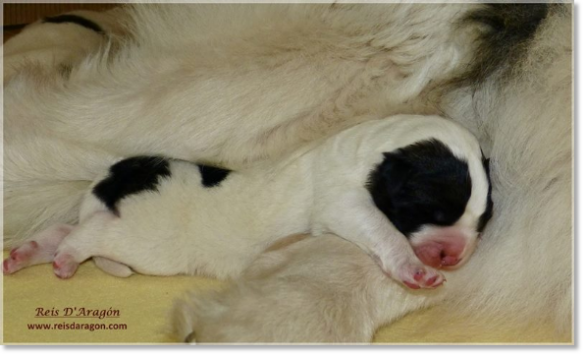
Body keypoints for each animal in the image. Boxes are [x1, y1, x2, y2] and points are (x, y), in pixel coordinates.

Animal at [2, 114, 490, 290]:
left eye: (481, 222)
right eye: (435, 211)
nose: (455, 255)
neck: (373, 151)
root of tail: (118, 172)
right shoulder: (344, 203)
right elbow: (386, 232)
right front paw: (414, 268)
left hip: (119, 224)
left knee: (67, 229)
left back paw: (27, 253)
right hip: (144, 239)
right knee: (84, 236)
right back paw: (64, 260)